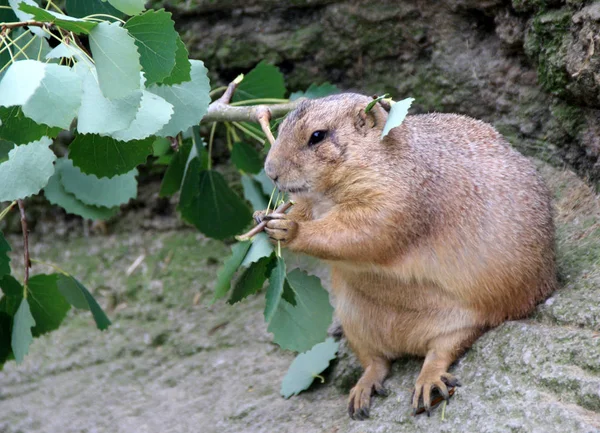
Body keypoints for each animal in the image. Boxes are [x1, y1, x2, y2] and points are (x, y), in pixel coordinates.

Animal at [254, 92, 556, 418]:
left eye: (317, 136)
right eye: (282, 125)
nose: (270, 171)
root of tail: (406, 342)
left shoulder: (394, 200)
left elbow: (360, 232)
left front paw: (290, 229)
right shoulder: (311, 202)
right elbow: (301, 210)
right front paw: (262, 216)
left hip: (465, 322)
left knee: (441, 351)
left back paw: (427, 384)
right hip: (354, 324)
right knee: (376, 361)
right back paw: (362, 392)